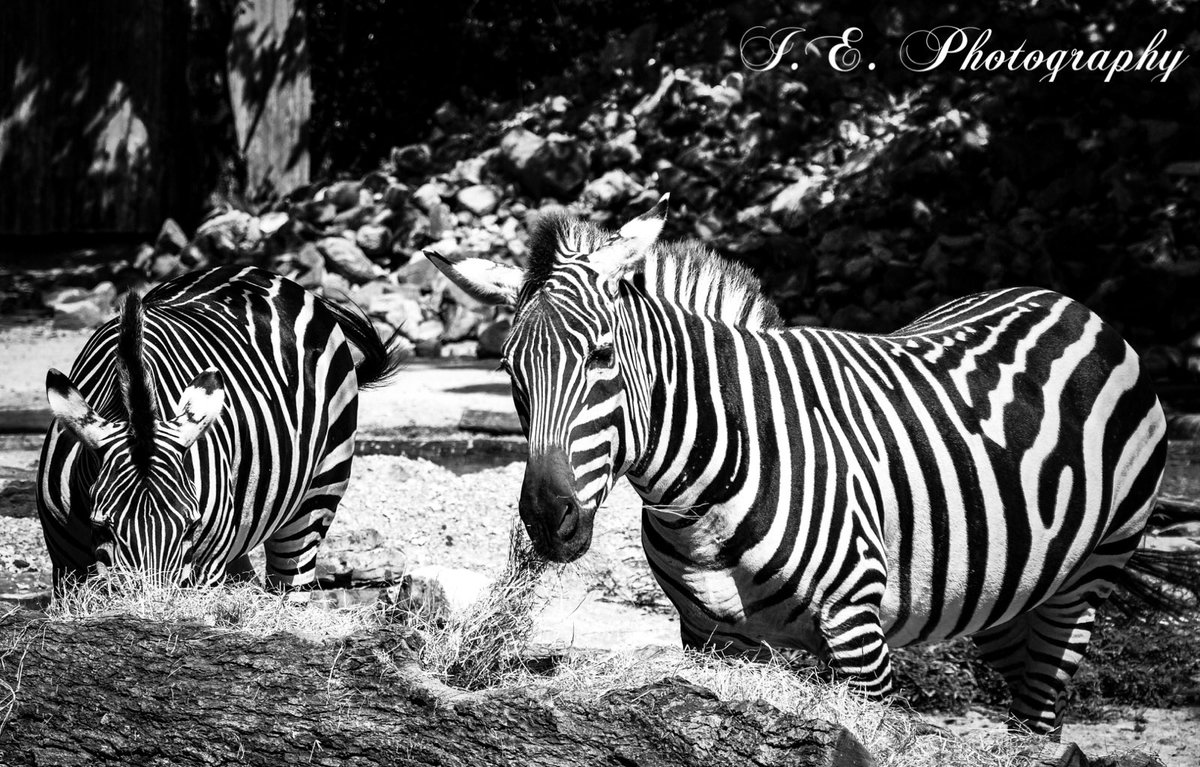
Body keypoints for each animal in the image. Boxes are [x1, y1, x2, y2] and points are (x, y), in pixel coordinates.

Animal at [37, 266, 403, 590]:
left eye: (190, 527)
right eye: (101, 528)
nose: (151, 607)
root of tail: (263, 273)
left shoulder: (202, 565)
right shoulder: (66, 569)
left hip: (317, 494)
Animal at [425, 196, 1197, 736]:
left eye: (601, 357)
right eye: (509, 372)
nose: (546, 520)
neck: (703, 490)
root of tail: (1067, 300)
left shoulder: (858, 633)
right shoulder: (712, 642)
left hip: (1084, 580)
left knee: (1043, 713)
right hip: (1005, 592)